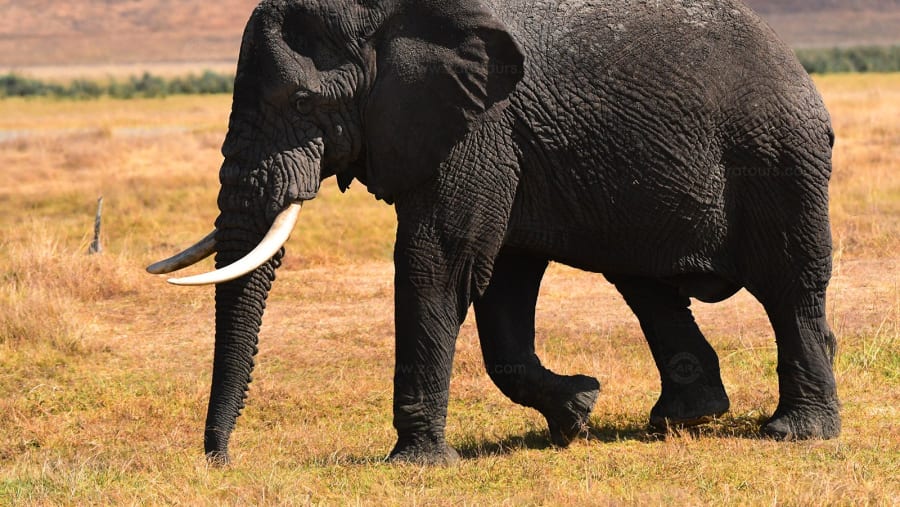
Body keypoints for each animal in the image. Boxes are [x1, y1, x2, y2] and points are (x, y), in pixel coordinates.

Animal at [148, 0, 840, 465]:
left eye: (299, 102)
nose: (220, 460)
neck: (387, 14)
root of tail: (796, 63)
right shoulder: (501, 140)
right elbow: (500, 280)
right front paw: (578, 412)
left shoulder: (480, 128)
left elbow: (440, 259)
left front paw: (416, 465)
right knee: (645, 285)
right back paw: (681, 420)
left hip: (781, 160)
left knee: (790, 288)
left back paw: (796, 433)